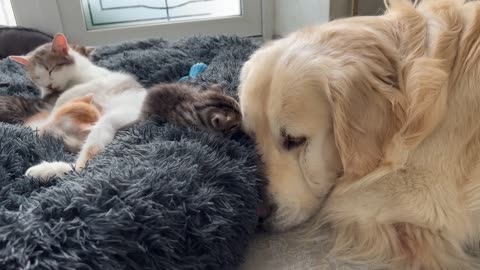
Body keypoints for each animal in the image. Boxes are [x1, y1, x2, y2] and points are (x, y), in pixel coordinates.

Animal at [10, 34, 146, 181]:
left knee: (80, 167)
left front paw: (51, 115)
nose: (49, 86)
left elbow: (65, 97)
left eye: (50, 69)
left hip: (107, 122)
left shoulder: (101, 81)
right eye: (37, 78)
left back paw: (43, 170)